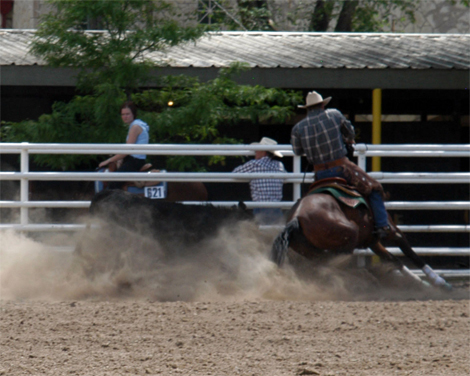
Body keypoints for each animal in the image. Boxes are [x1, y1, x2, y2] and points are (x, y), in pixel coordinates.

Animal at [272, 178, 452, 290]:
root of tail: (296, 218)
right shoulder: (392, 230)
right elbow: (410, 252)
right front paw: (439, 282)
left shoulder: (373, 241)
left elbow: (394, 260)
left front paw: (419, 282)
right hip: (349, 234)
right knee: (336, 264)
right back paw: (366, 277)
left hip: (314, 252)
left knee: (326, 266)